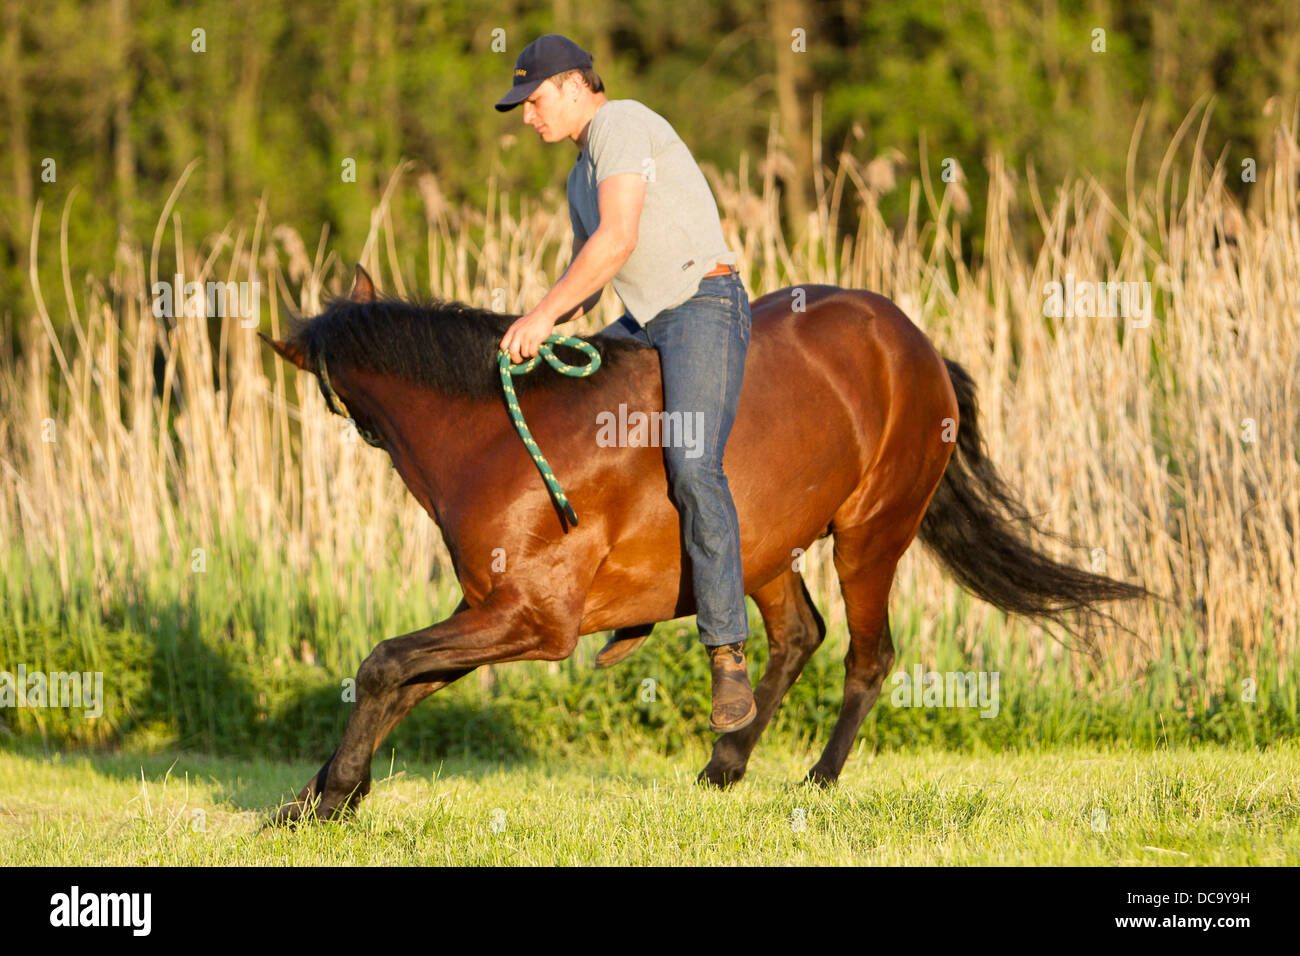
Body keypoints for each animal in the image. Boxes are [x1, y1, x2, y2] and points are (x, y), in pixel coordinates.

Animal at [259, 264, 1150, 825]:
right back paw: (725, 763)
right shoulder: (491, 608)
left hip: (870, 534)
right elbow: (404, 683)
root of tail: (914, 341)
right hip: (763, 549)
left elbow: (385, 665)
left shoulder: (533, 621)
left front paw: (330, 798)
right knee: (797, 637)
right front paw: (313, 798)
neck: (499, 434)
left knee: (868, 656)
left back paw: (817, 781)